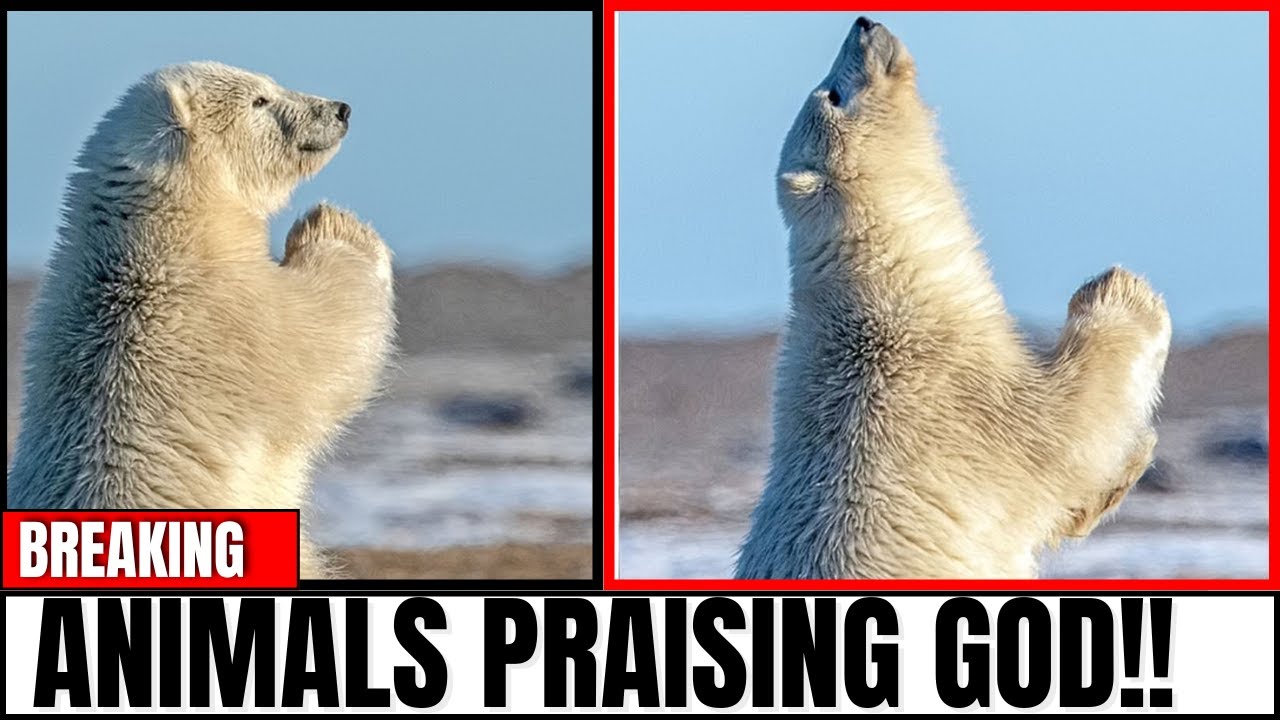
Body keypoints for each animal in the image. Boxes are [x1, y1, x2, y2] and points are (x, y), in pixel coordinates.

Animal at [7, 62, 395, 579]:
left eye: (270, 86)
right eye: (260, 100)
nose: (339, 109)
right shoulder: (226, 319)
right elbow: (326, 340)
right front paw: (333, 224)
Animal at [735, 18, 1171, 579]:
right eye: (834, 94)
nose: (863, 23)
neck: (890, 284)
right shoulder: (952, 392)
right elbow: (1069, 421)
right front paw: (1123, 290)